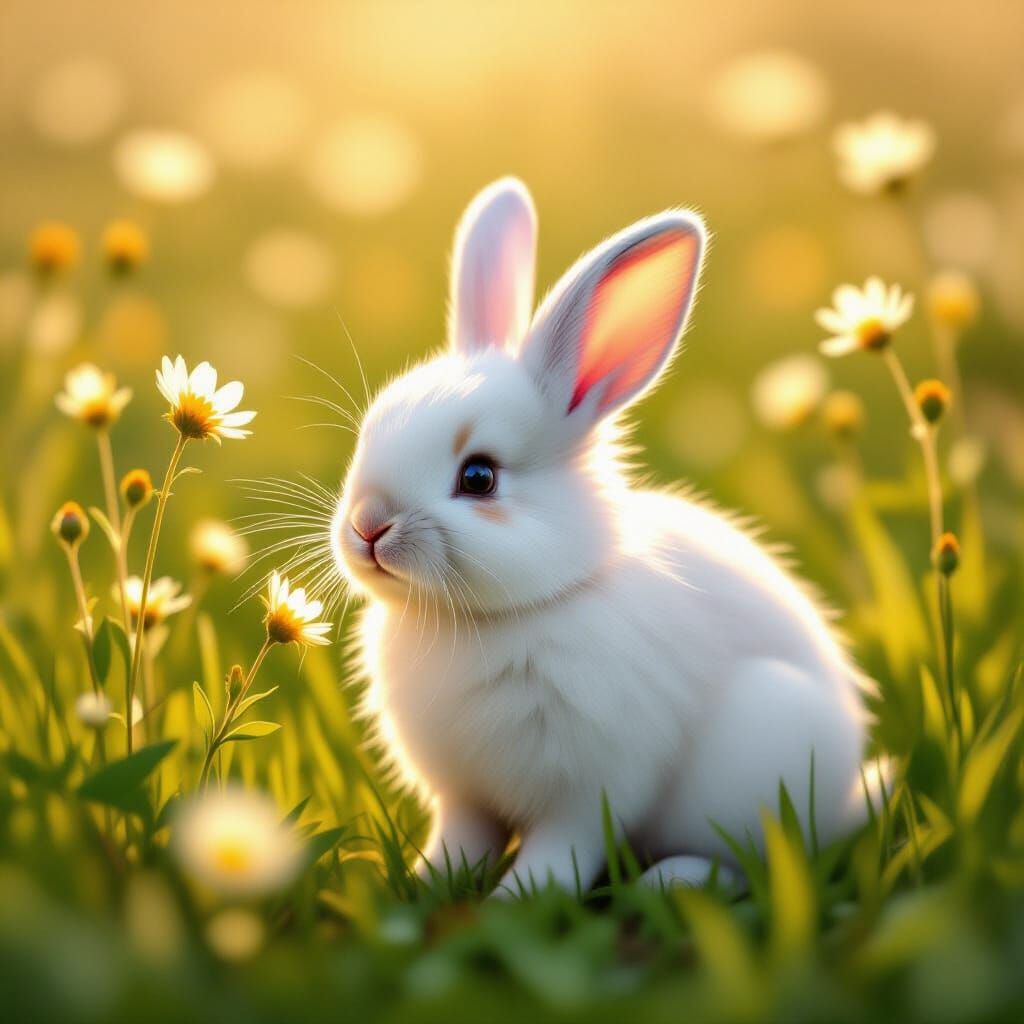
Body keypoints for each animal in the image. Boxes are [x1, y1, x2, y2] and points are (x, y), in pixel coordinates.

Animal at [332, 177, 875, 896]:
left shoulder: (592, 786)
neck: (485, 619)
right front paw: (425, 884)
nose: (368, 526)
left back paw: (669, 882)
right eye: (369, 433)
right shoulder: (463, 795)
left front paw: (517, 900)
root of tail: (846, 801)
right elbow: (461, 841)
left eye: (478, 477)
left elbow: (563, 849)